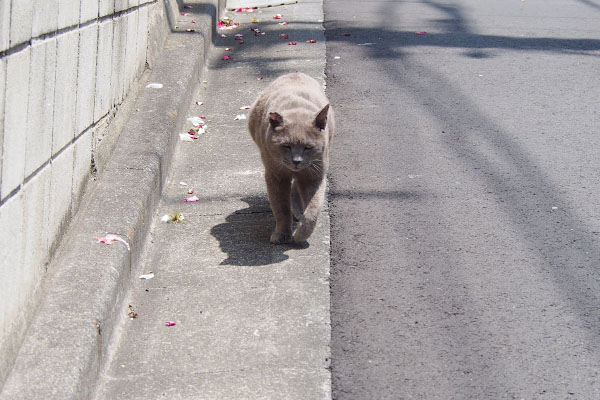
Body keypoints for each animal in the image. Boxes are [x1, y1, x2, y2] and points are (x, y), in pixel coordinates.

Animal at [247, 72, 332, 244]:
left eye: (308, 147)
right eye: (286, 146)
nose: (296, 161)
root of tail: (295, 73)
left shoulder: (315, 175)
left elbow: (313, 210)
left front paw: (300, 235)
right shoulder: (275, 175)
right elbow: (281, 208)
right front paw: (282, 235)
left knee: (296, 188)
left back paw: (298, 213)